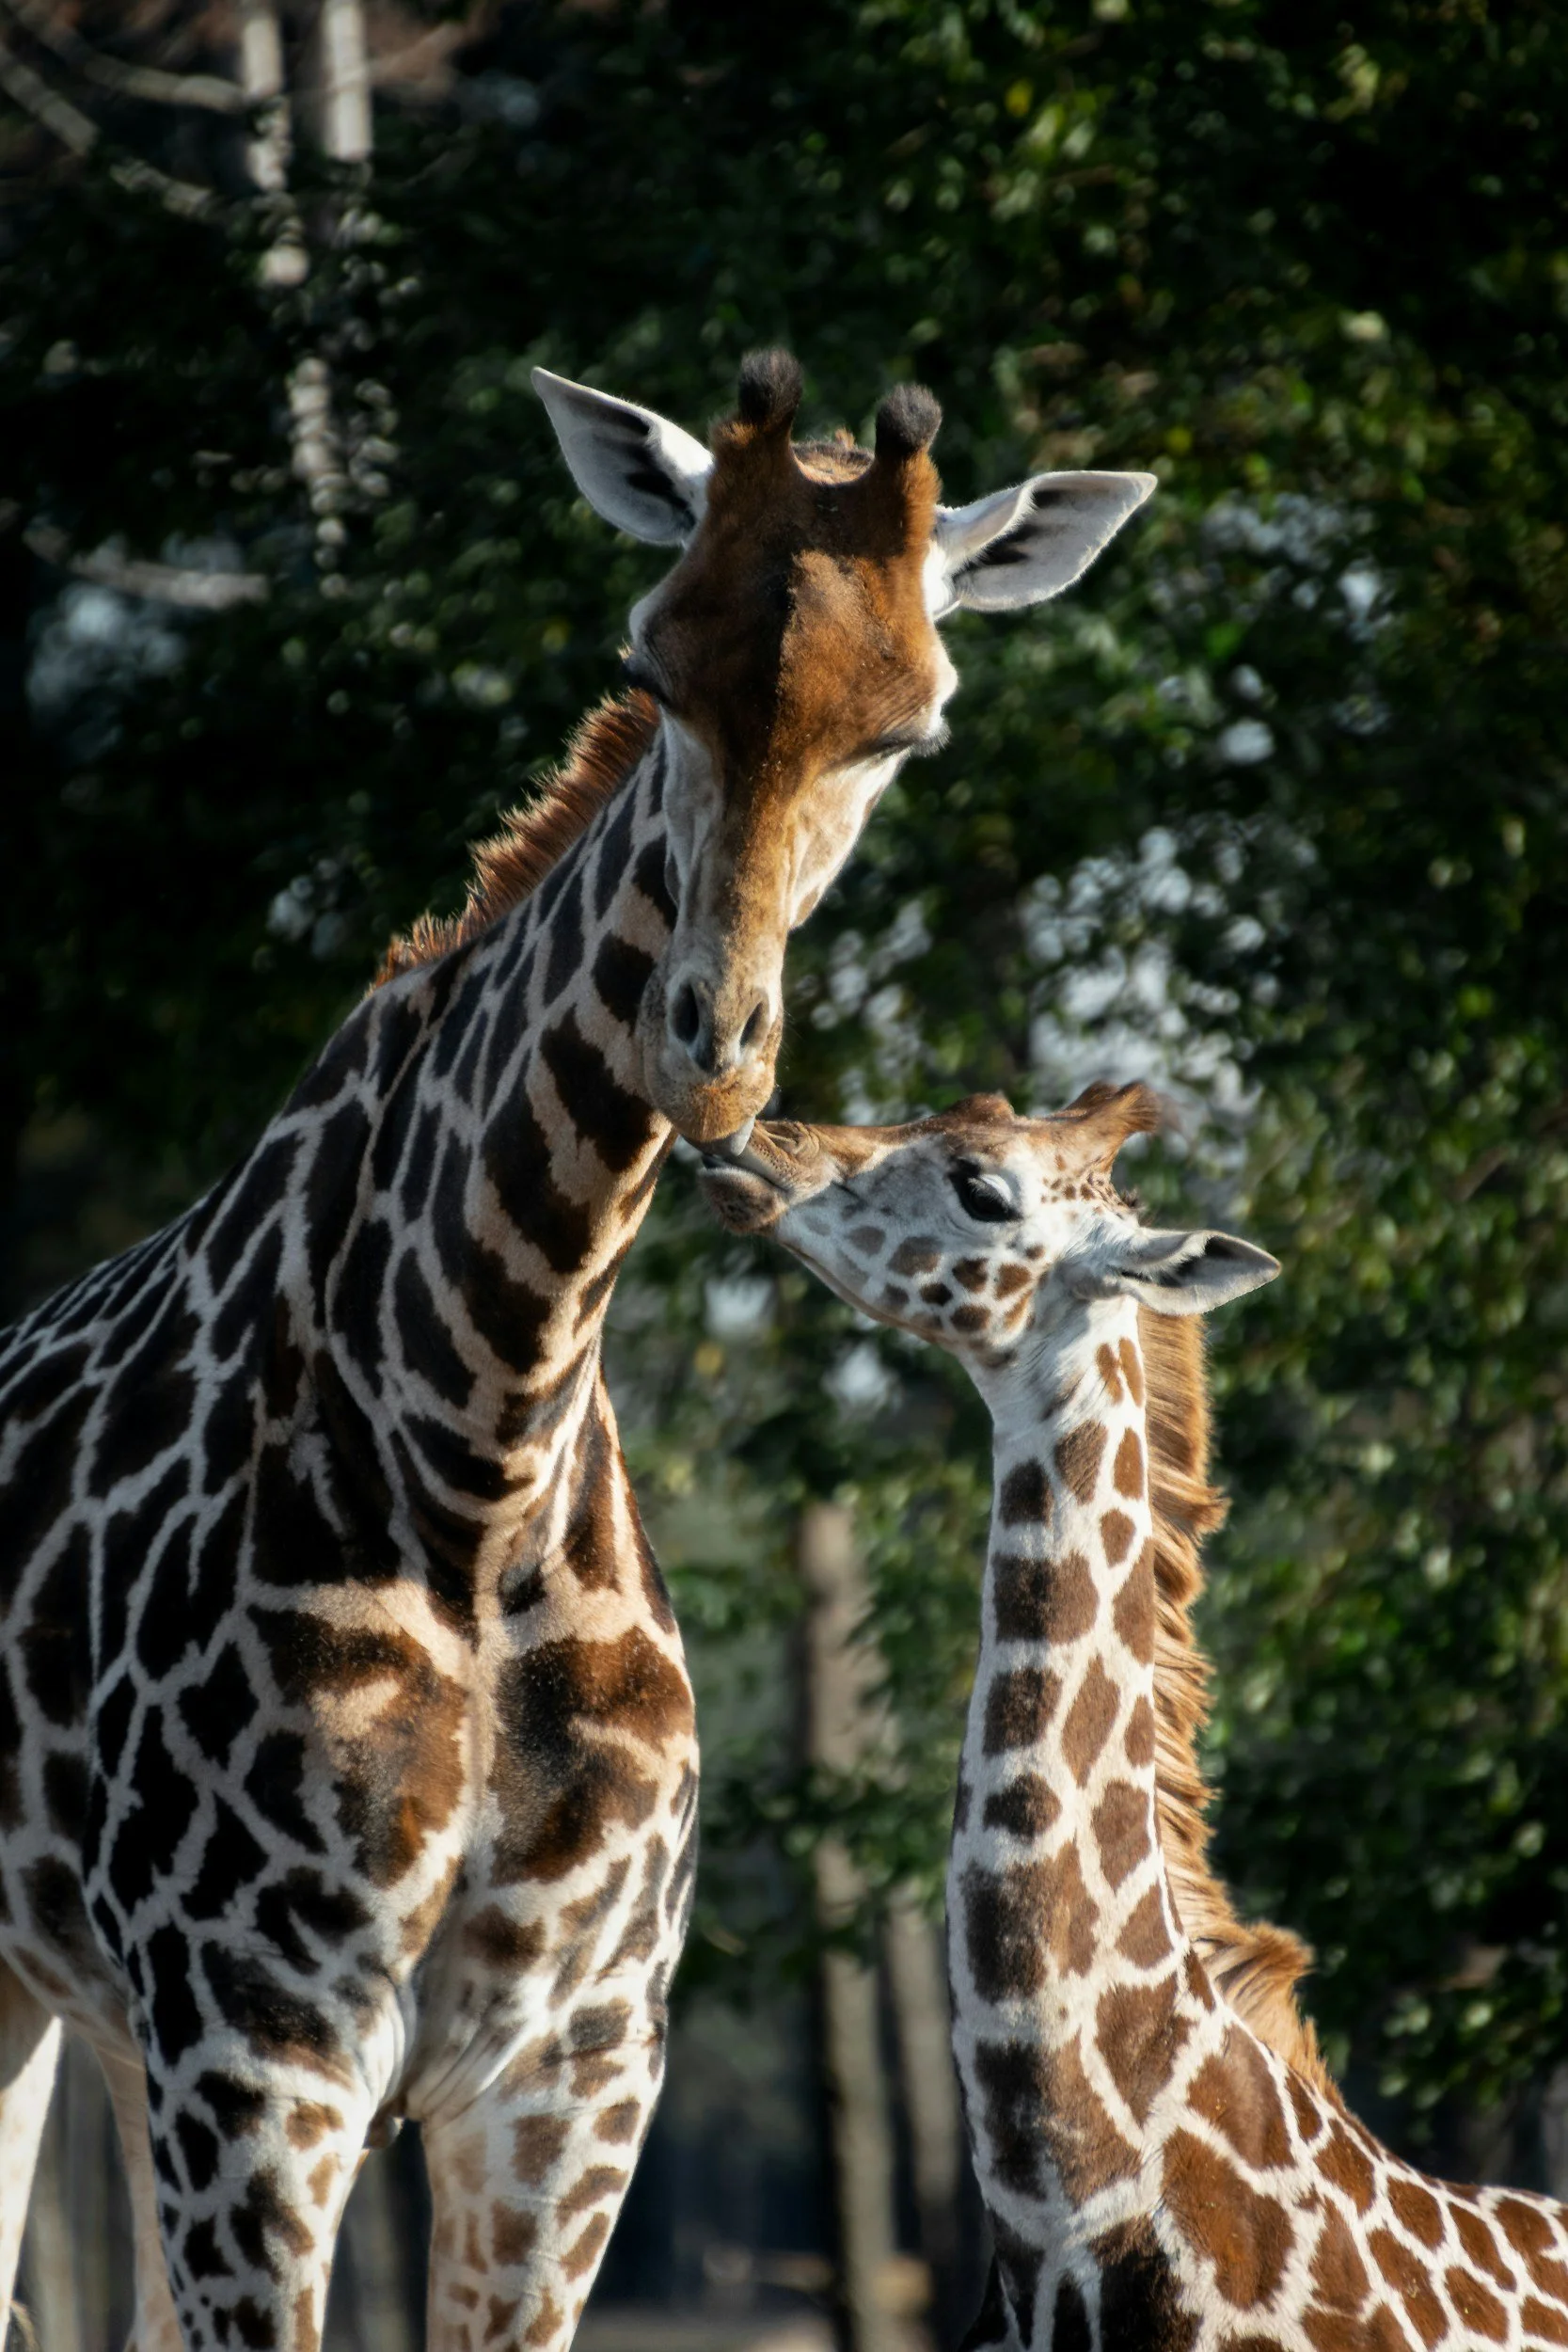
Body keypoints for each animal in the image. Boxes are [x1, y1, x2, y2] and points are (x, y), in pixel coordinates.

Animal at [0, 354, 1156, 2352]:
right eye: (647, 662)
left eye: (910, 731)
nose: (710, 1044)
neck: (480, 1435)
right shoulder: (254, 2043)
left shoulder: (571, 2071)